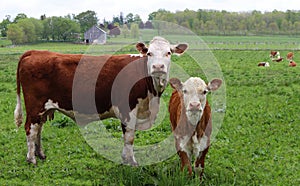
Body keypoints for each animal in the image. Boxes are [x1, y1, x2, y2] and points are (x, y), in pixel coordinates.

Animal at [14, 36, 188, 166]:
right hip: (35, 106)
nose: (158, 67)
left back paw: (40, 153)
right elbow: (129, 137)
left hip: (42, 109)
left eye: (168, 53)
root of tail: (35, 52)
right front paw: (131, 162)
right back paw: (32, 158)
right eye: (149, 53)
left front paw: (125, 159)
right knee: (30, 129)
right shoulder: (127, 109)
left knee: (38, 129)